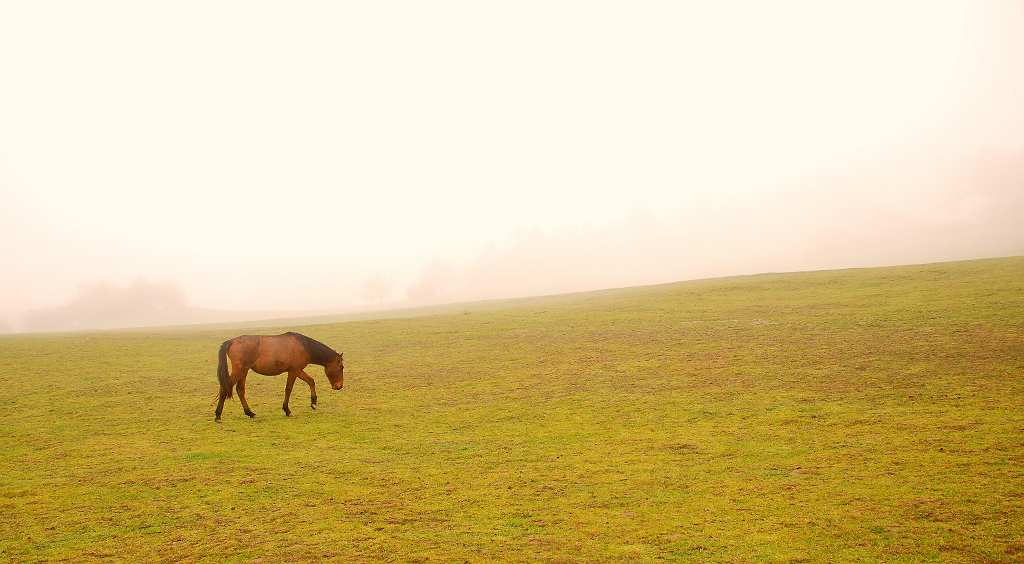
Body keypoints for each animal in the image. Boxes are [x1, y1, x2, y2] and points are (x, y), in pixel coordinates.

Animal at [215, 333, 344, 421]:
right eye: (341, 367)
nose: (339, 386)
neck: (304, 346)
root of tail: (232, 341)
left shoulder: (294, 371)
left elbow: (301, 384)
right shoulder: (295, 370)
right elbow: (296, 386)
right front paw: (307, 405)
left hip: (244, 371)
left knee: (240, 390)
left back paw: (249, 412)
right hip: (240, 371)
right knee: (225, 388)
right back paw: (218, 415)